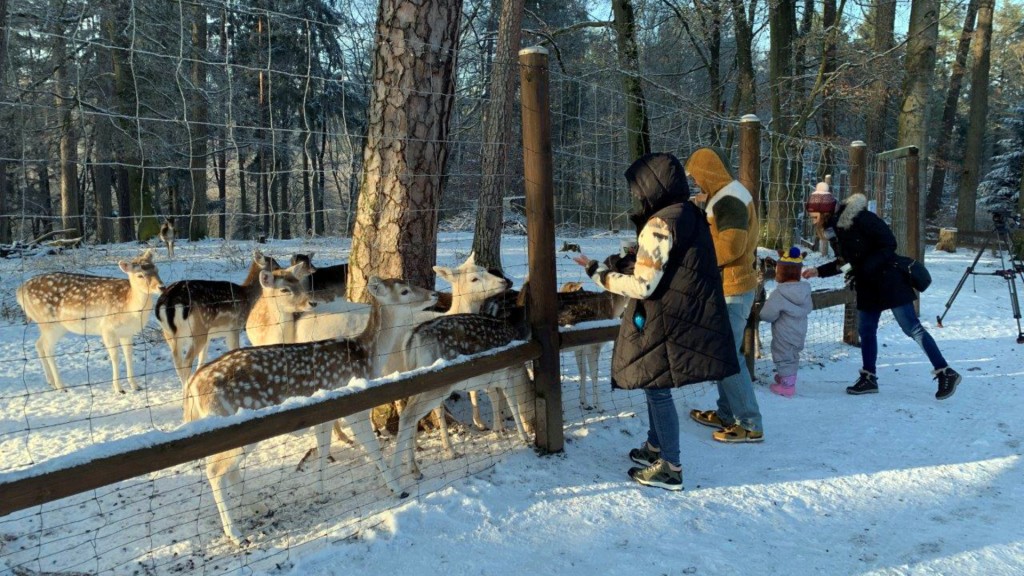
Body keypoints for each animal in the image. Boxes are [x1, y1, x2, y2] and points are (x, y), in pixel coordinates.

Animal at [17, 249, 164, 391]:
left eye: (157, 269)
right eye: (140, 275)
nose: (161, 287)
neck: (130, 307)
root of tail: (19, 291)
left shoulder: (127, 332)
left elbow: (128, 355)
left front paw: (135, 385)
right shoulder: (107, 329)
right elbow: (115, 357)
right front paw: (119, 389)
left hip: (51, 326)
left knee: (38, 344)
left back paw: (51, 382)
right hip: (50, 323)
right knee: (48, 349)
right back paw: (61, 386)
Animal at [183, 276, 436, 545]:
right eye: (405, 290)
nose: (433, 294)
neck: (368, 356)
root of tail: (194, 385)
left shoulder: (324, 412)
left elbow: (323, 449)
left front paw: (320, 491)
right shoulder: (353, 406)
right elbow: (373, 449)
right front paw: (397, 489)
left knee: (228, 470)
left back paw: (260, 508)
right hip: (235, 424)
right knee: (215, 470)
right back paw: (236, 534)